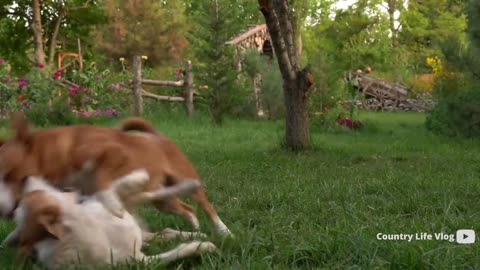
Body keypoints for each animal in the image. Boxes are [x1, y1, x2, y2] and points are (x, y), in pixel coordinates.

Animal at [0, 113, 231, 236]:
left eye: (9, 174)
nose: (2, 211)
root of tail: (157, 136)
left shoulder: (114, 154)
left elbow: (103, 178)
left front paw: (113, 205)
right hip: (163, 200)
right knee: (187, 208)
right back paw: (195, 226)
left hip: (187, 181)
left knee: (206, 205)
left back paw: (223, 230)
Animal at [11, 170, 218, 268]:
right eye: (30, 197)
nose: (24, 178)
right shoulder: (137, 261)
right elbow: (173, 254)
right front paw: (202, 247)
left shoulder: (107, 202)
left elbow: (116, 189)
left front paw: (139, 177)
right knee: (161, 232)